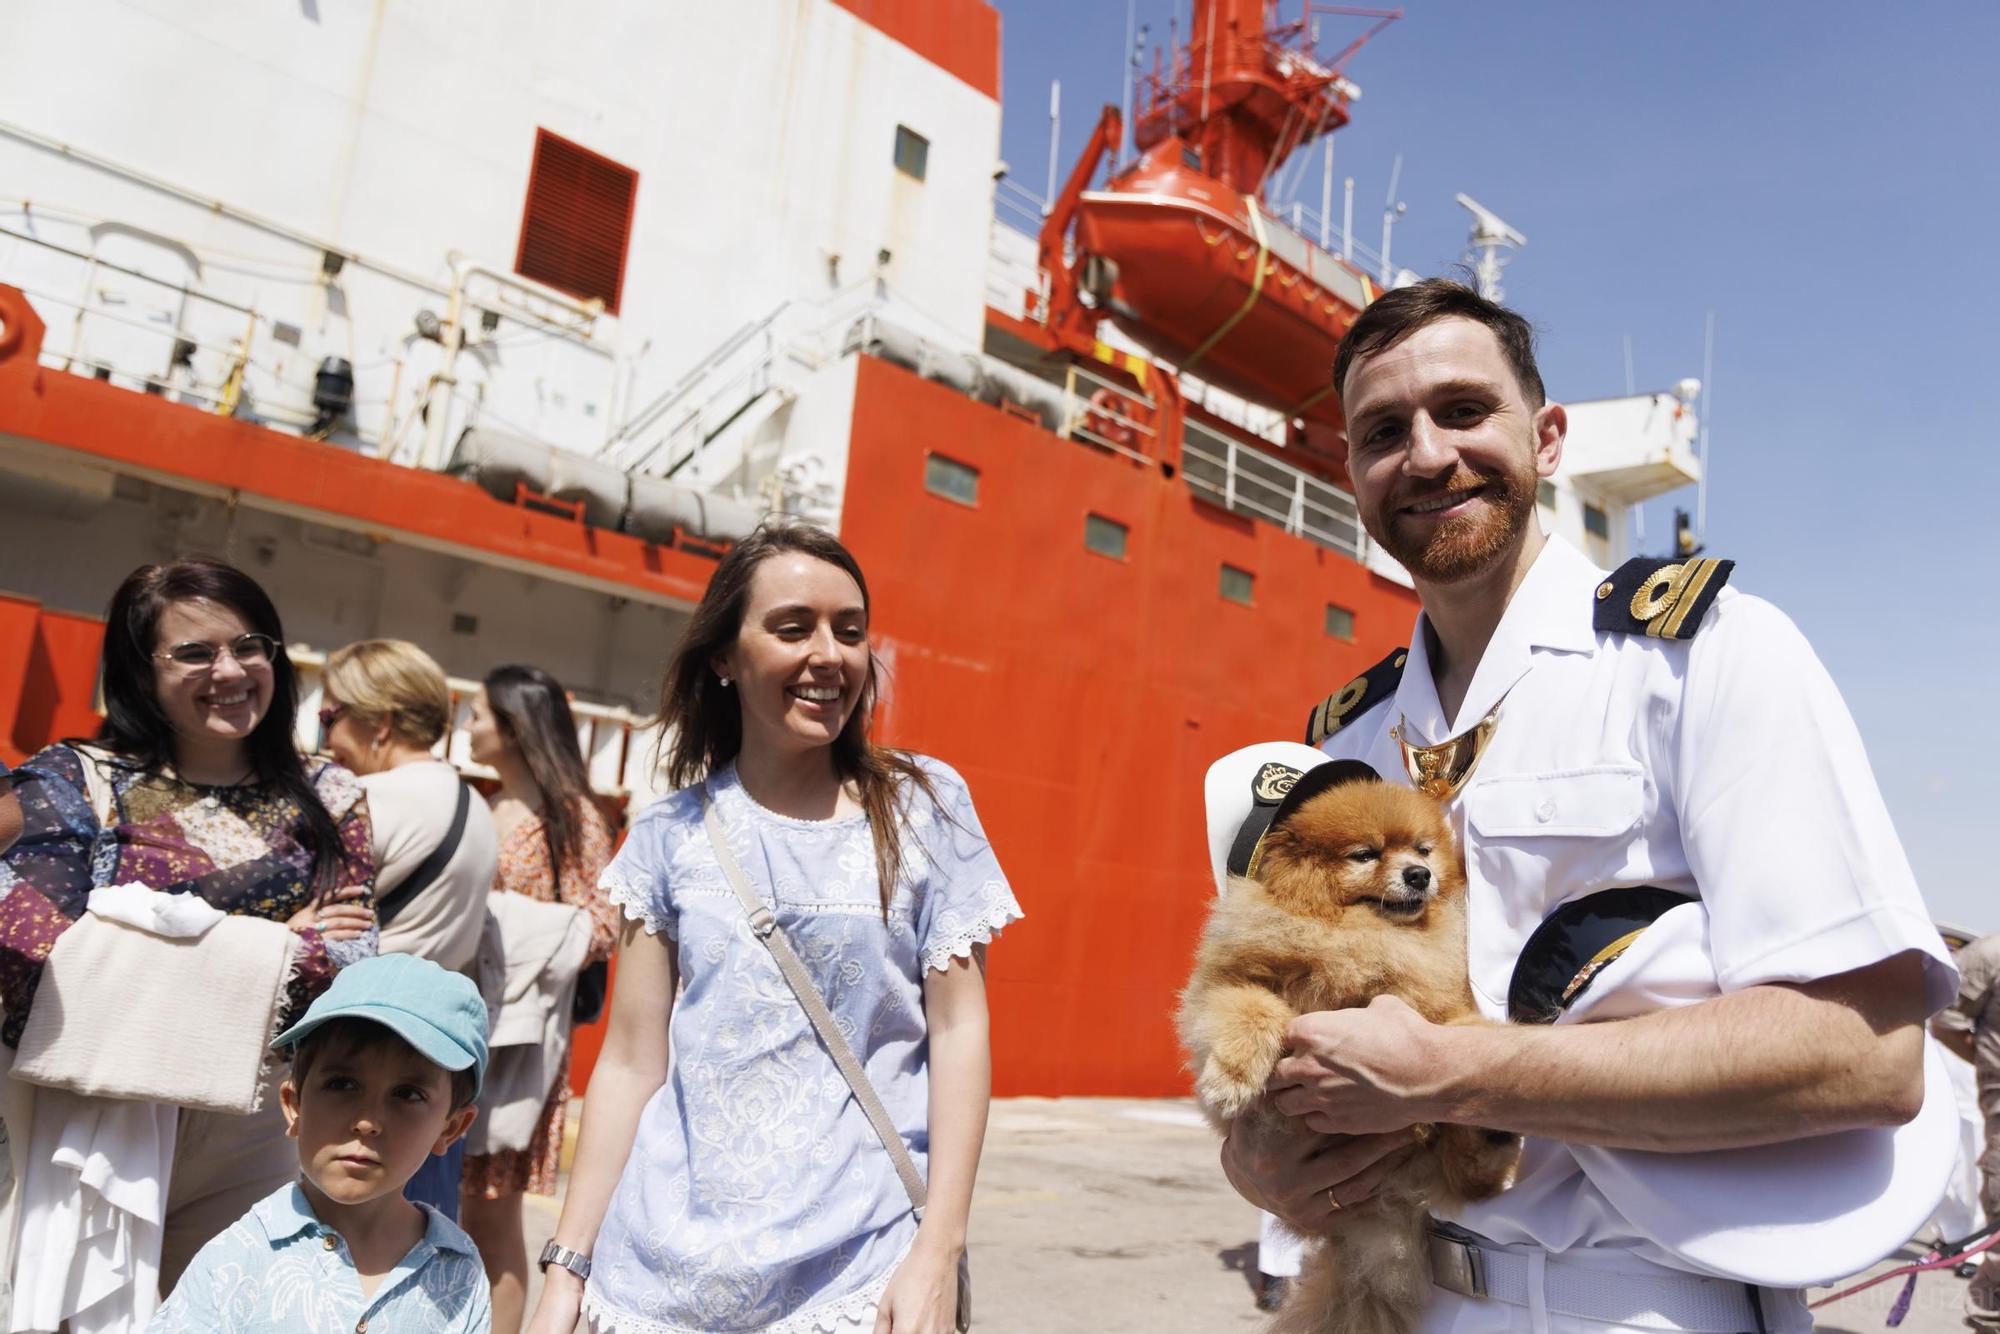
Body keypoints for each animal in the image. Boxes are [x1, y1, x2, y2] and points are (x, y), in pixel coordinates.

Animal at [1168, 772, 1512, 1334]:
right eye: (1366, 854)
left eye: (1423, 850)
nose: (1419, 875)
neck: (1361, 934)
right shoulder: (1233, 983)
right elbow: (1250, 1012)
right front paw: (1231, 1078)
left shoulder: (1433, 1002)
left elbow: (1449, 1033)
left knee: (1469, 1177)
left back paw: (1491, 1131)